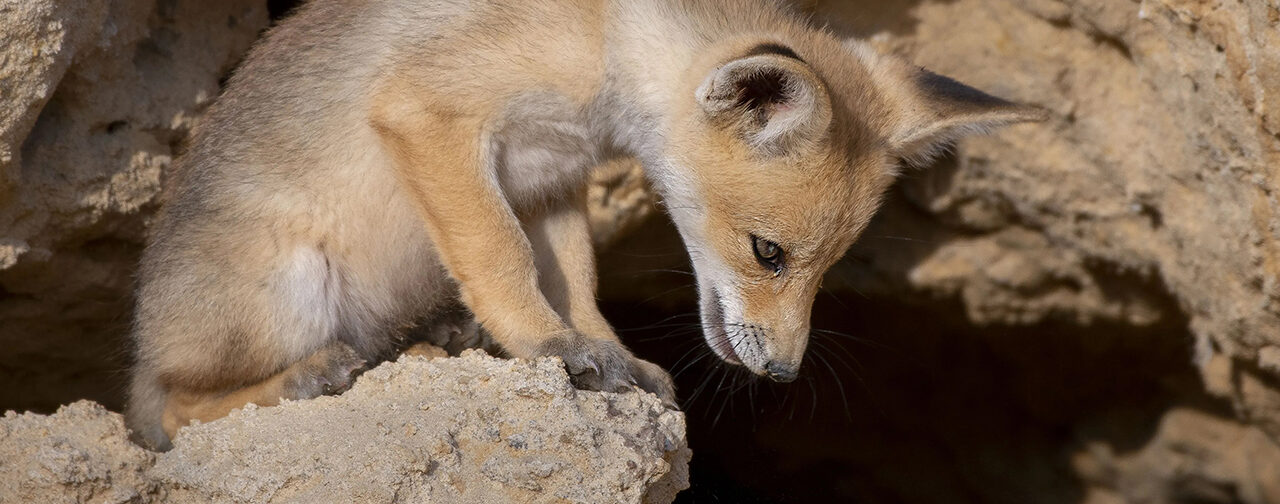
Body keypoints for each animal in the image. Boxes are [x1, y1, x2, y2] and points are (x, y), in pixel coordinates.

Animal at [122, 0, 1039, 447]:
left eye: (828, 268)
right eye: (769, 252)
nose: (781, 374)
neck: (600, 39)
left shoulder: (551, 182)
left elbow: (579, 284)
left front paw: (609, 354)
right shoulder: (433, 117)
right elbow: (499, 258)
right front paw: (545, 347)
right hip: (290, 288)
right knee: (168, 410)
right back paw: (300, 379)